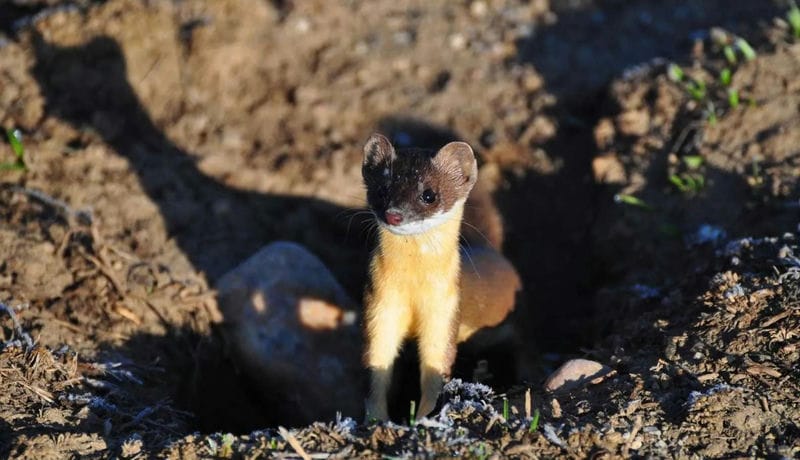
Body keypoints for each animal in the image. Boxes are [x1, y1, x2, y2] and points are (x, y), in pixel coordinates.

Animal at [360, 132, 520, 420]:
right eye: (382, 189)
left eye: (429, 194)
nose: (394, 214)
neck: (413, 289)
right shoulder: (379, 305)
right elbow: (376, 361)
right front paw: (376, 419)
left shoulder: (445, 309)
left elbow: (437, 363)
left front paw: (425, 415)